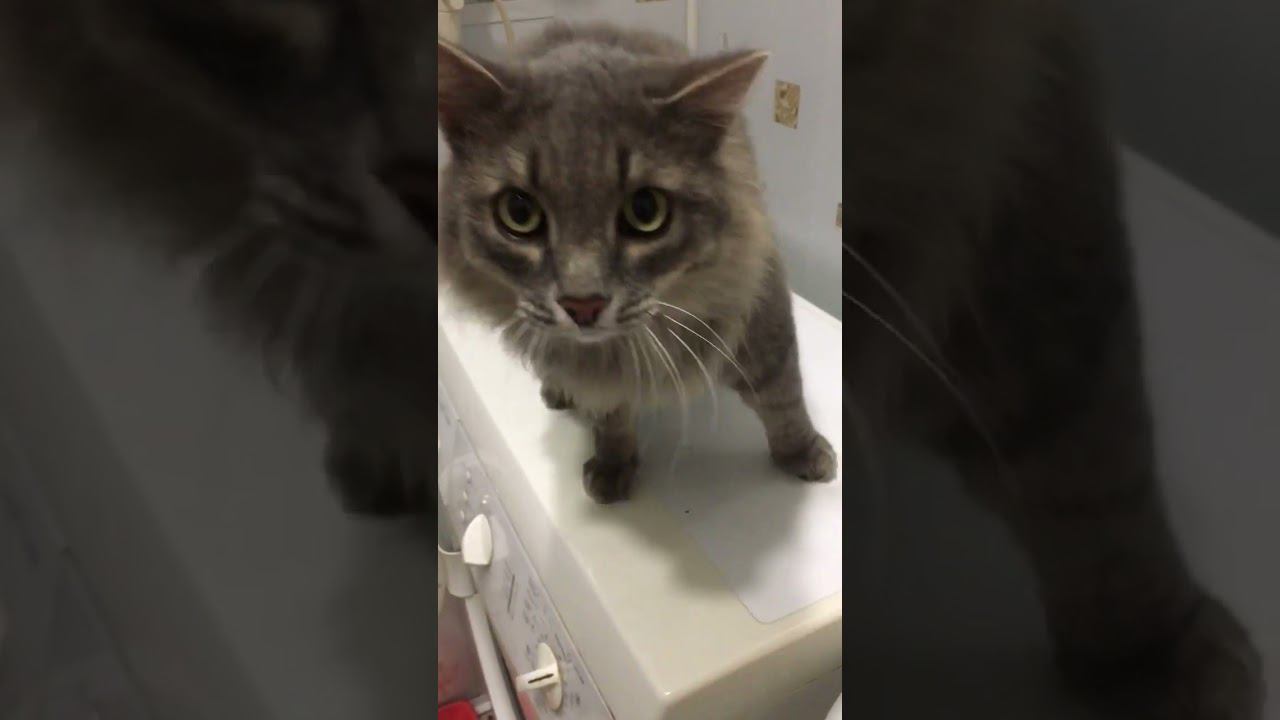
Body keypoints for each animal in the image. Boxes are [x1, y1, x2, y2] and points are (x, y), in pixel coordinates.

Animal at [435, 24, 837, 503]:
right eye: (519, 212)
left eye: (646, 211)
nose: (583, 304)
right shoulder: (603, 378)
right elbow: (611, 416)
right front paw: (613, 466)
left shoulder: (762, 316)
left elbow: (783, 398)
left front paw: (804, 454)